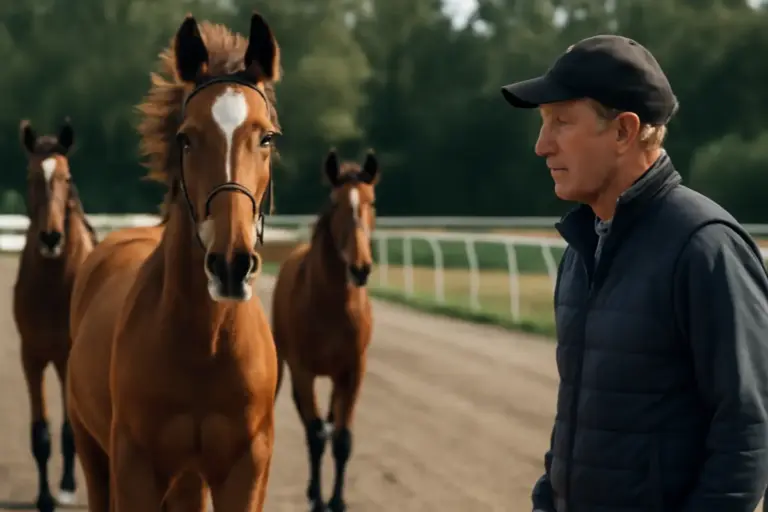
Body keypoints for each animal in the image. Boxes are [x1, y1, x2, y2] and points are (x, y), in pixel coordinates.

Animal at [65, 11, 282, 511]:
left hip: (188, 479)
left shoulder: (247, 470)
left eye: (266, 136)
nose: (230, 265)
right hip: (92, 449)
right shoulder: (134, 469)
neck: (206, 344)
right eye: (186, 138)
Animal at [272, 149, 379, 512]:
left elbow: (342, 438)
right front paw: (318, 499)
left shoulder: (352, 370)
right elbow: (315, 434)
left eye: (371, 202)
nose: (361, 268)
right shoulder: (302, 371)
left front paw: (337, 500)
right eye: (336, 203)